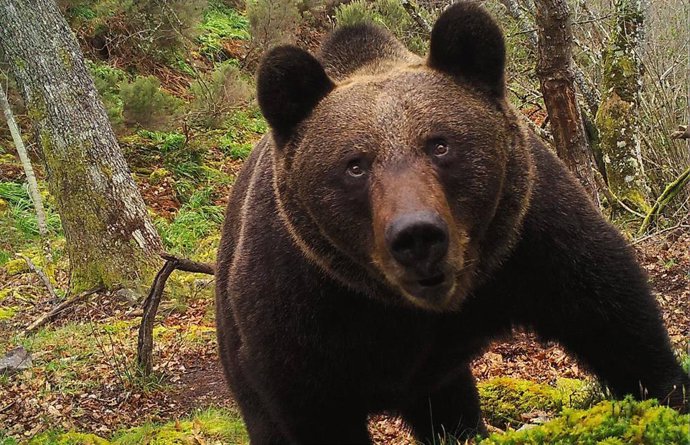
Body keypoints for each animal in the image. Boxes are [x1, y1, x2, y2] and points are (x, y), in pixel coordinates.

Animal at [215, 3, 688, 444]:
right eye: (354, 165)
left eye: (440, 144)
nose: (417, 236)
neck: (416, 310)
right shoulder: (302, 305)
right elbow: (311, 406)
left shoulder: (528, 238)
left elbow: (612, 313)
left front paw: (668, 393)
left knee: (450, 405)